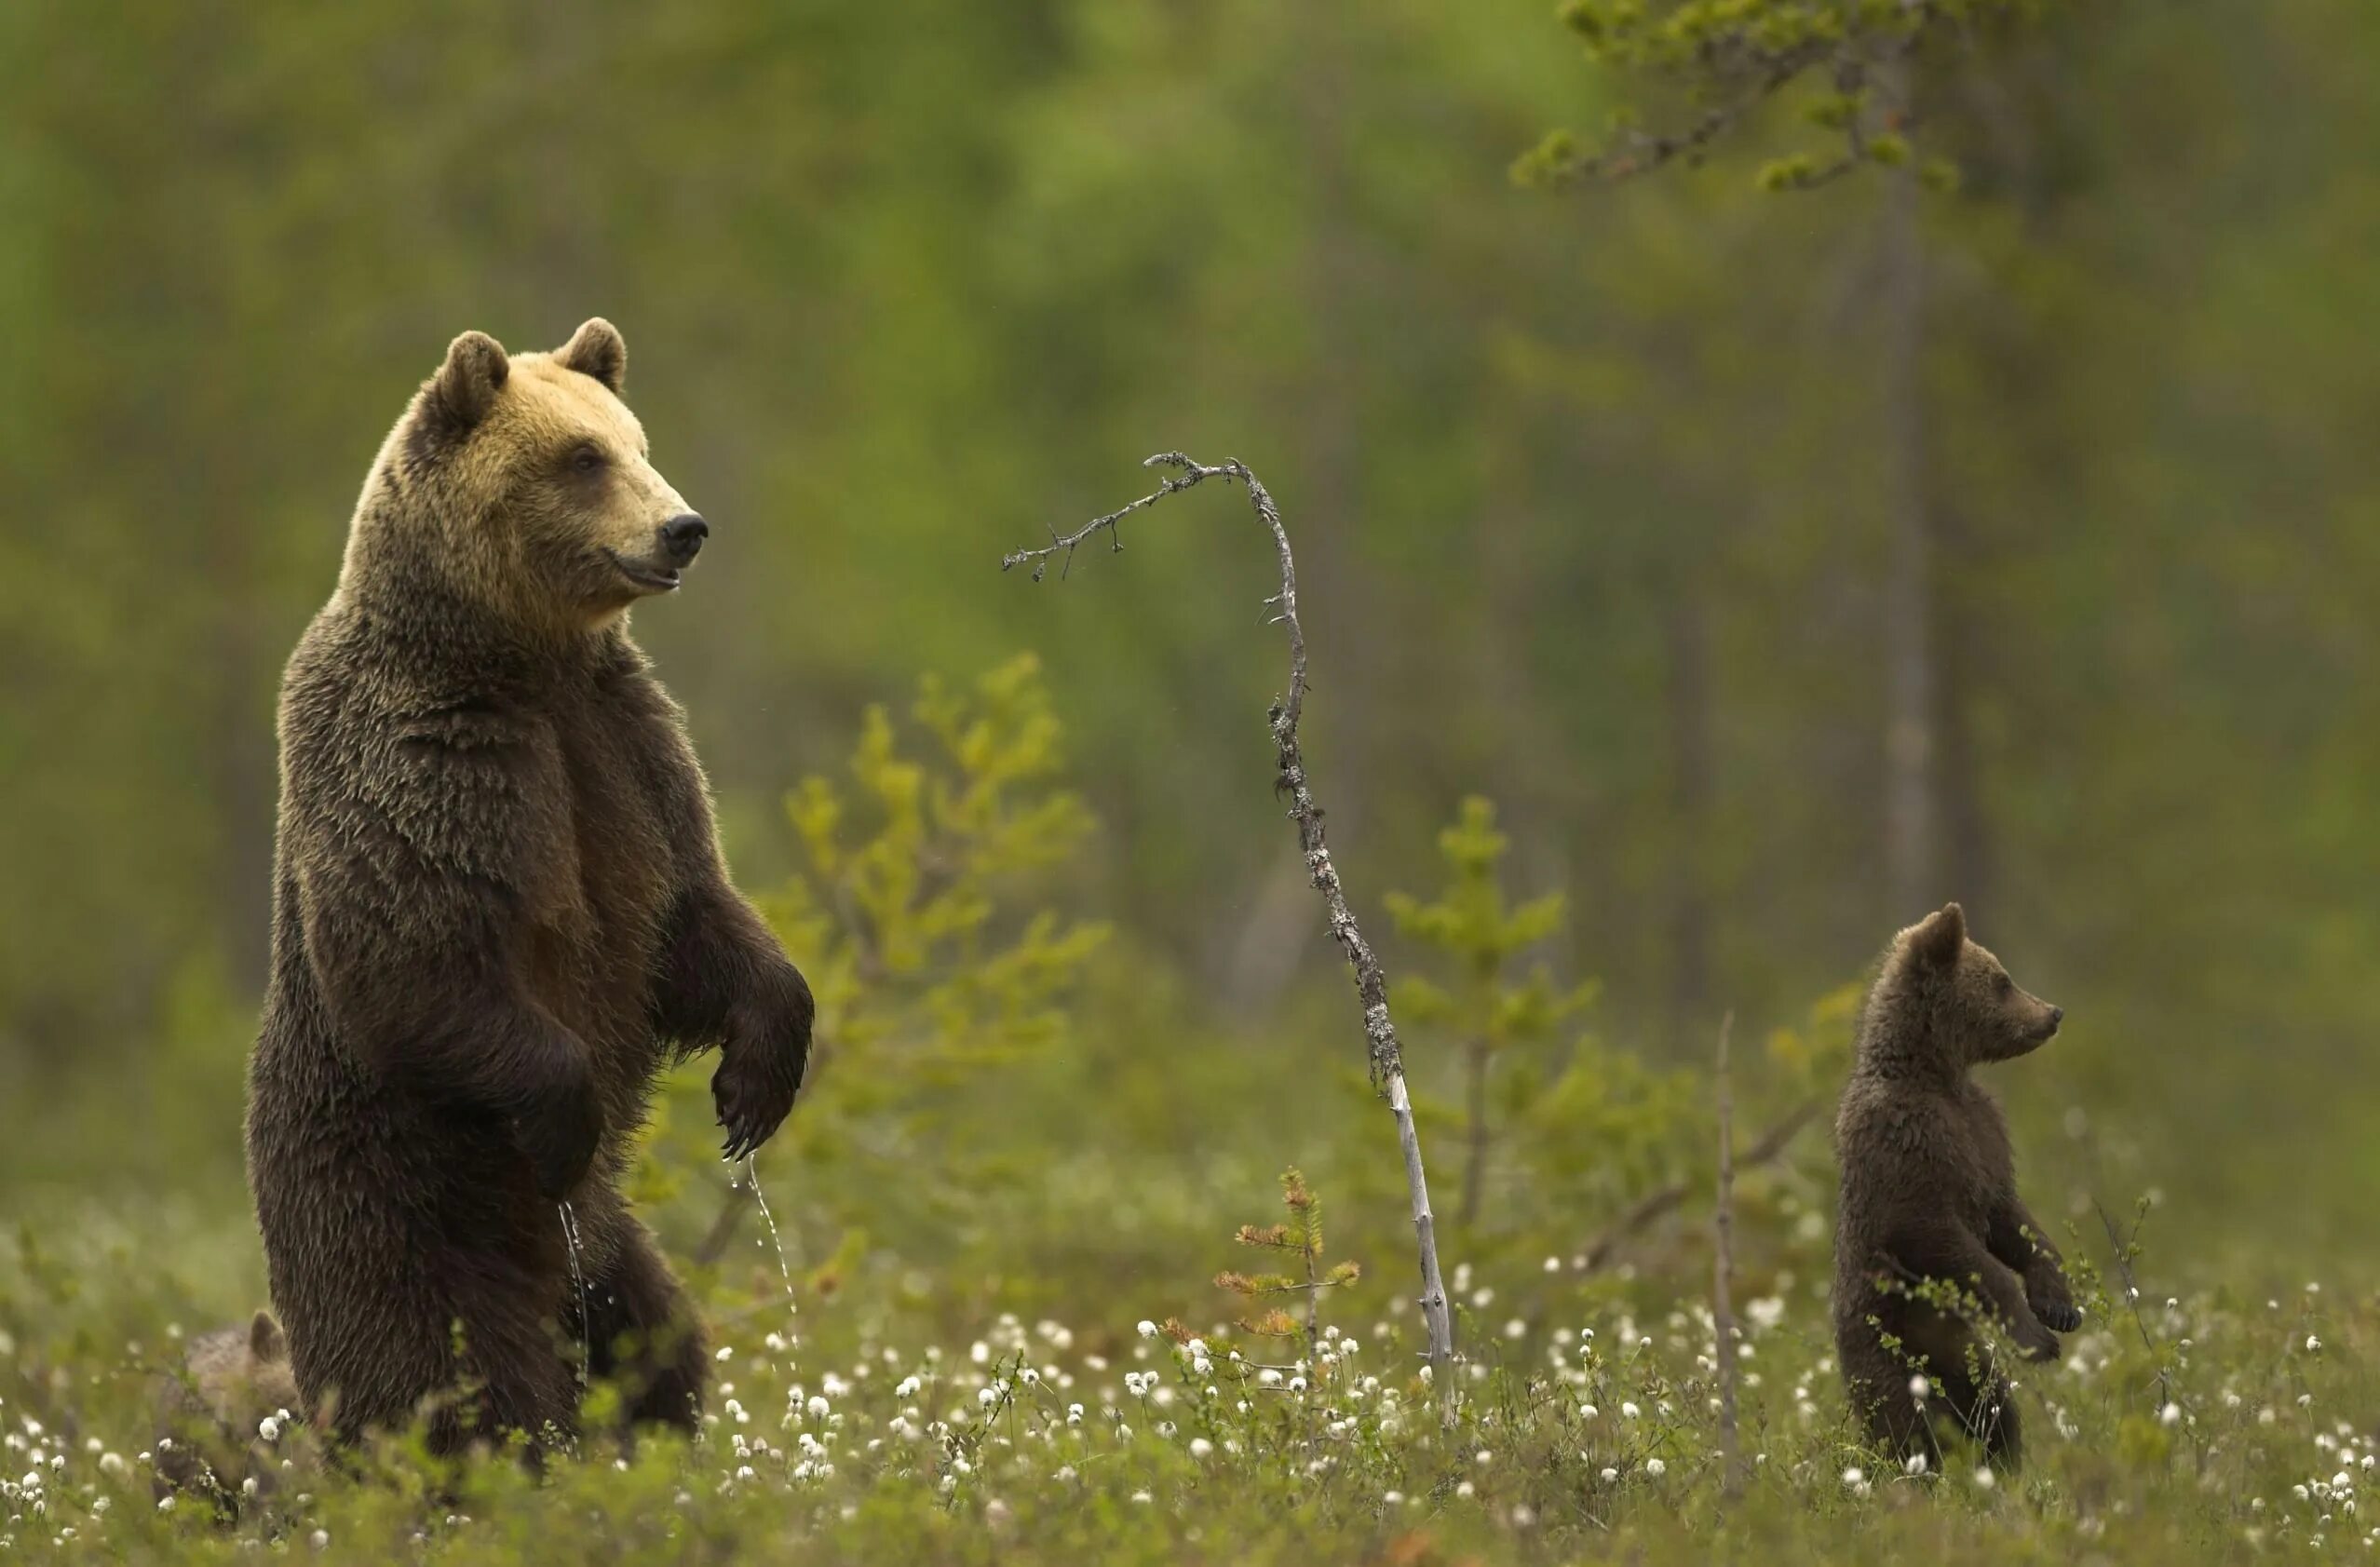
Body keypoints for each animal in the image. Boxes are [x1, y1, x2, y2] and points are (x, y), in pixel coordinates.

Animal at [246, 317, 814, 1448]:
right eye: (581, 457)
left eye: (637, 442)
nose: (683, 528)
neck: (519, 656)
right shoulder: (429, 760)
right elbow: (411, 950)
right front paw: (564, 1116)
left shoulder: (624, 747)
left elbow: (690, 917)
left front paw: (756, 1081)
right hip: (396, 1210)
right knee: (451, 1385)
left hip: (612, 1254)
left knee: (660, 1344)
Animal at [1828, 895, 2075, 1466]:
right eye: (2003, 980)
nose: (2052, 1013)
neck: (1936, 1074)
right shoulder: (1906, 1146)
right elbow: (1940, 1236)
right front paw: (2036, 1335)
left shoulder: (1984, 1134)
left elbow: (2012, 1217)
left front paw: (2058, 1304)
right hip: (1890, 1349)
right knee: (1906, 1426)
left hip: (1966, 1361)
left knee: (1995, 1412)